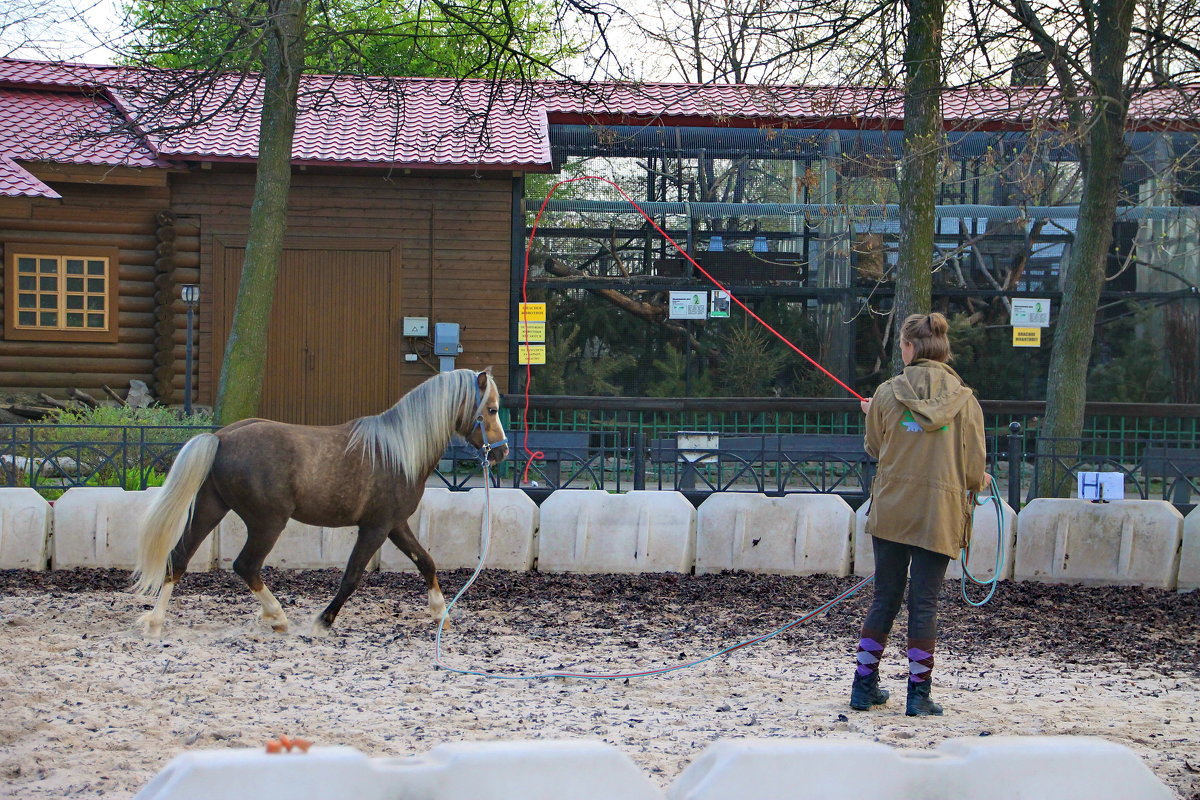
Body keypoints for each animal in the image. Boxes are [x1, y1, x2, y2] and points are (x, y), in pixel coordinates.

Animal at [131, 367, 506, 638]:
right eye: (490, 409)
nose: (501, 452)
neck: (397, 451)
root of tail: (221, 438)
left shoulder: (396, 524)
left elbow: (426, 562)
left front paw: (441, 612)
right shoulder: (375, 527)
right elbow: (352, 576)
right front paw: (323, 621)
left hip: (211, 508)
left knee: (178, 559)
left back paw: (155, 623)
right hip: (267, 523)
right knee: (246, 566)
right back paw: (278, 618)